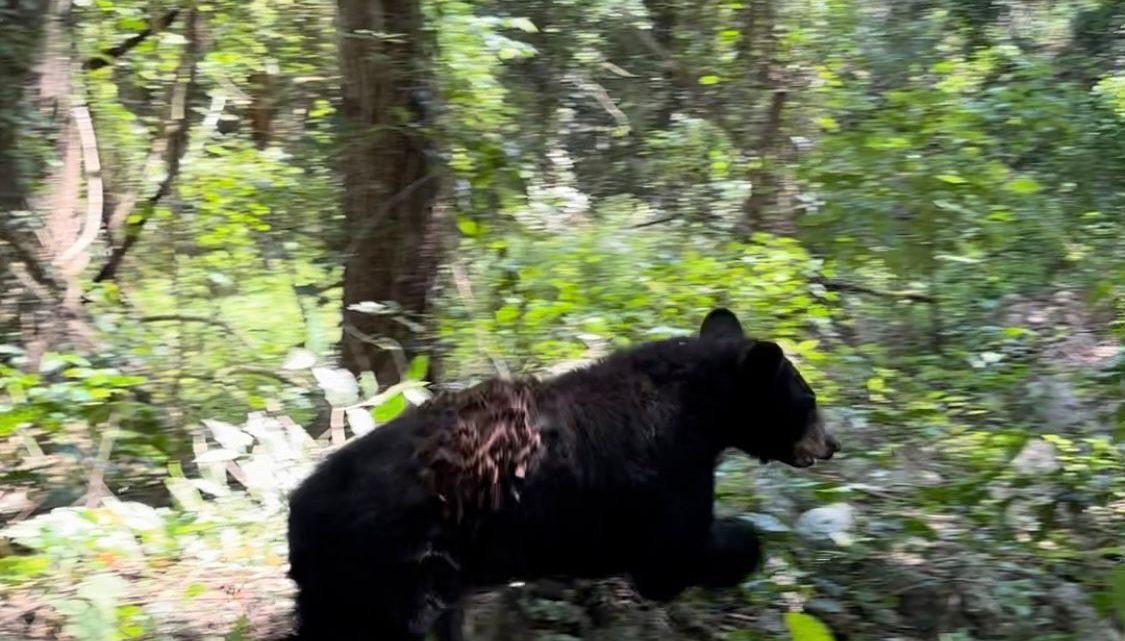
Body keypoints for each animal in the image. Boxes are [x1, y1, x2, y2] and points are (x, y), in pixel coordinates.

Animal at [285, 305, 841, 634]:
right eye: (809, 399)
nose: (832, 444)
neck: (700, 406)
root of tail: (300, 506)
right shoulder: (668, 471)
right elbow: (669, 559)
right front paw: (743, 542)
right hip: (401, 565)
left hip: (337, 583)